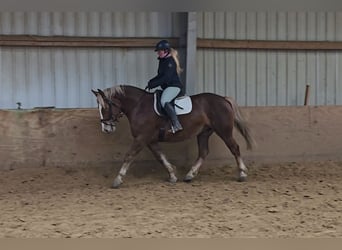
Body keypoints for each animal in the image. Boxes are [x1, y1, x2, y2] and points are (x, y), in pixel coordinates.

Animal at [91, 85, 254, 188]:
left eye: (104, 107)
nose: (106, 128)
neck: (138, 106)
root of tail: (223, 99)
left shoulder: (142, 137)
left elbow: (129, 155)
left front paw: (118, 179)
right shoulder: (150, 140)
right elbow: (160, 157)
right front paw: (172, 175)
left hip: (223, 130)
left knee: (234, 148)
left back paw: (242, 174)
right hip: (204, 132)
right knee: (203, 152)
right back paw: (190, 175)